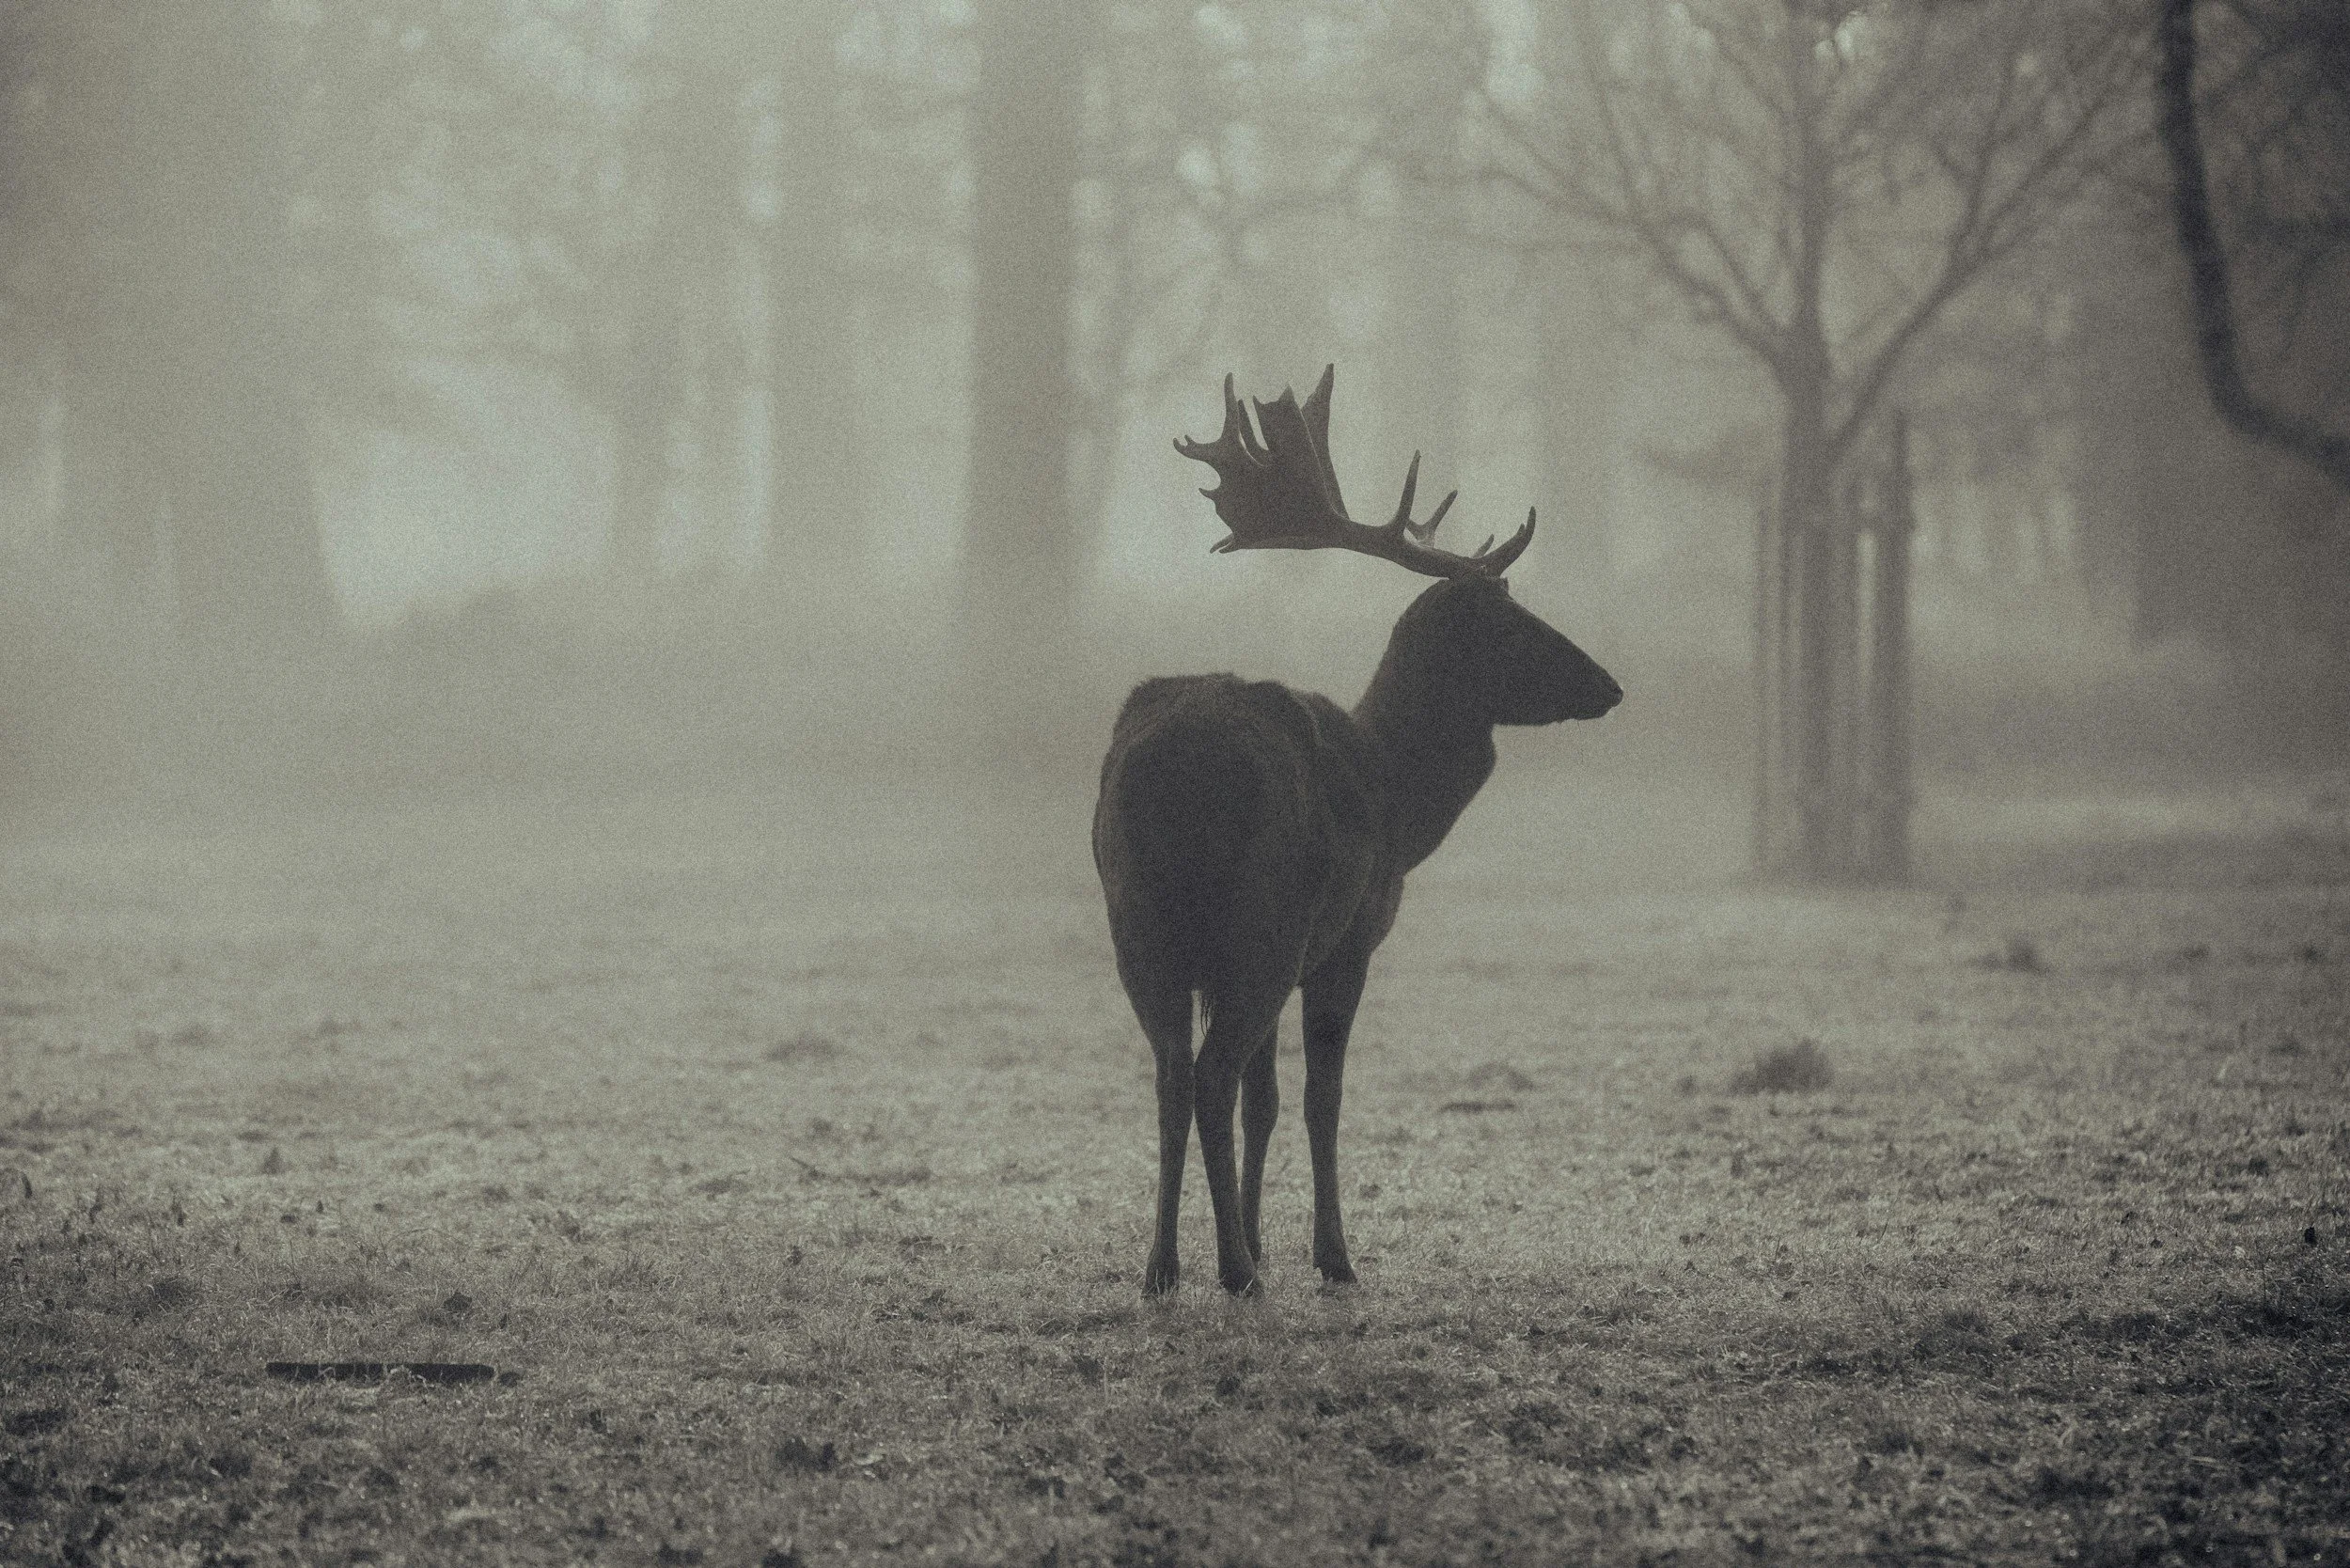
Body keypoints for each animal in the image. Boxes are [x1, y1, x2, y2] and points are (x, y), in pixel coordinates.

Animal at [1092, 365, 1622, 1298]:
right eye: (1513, 622)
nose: (1610, 684)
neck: (1398, 805)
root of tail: (1176, 769)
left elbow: (1265, 1102)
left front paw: (1262, 1236)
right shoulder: (1346, 941)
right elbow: (1318, 1099)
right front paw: (1329, 1255)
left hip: (1139, 920)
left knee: (1170, 1073)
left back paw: (1162, 1267)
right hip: (1259, 920)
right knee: (1208, 1072)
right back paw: (1234, 1272)